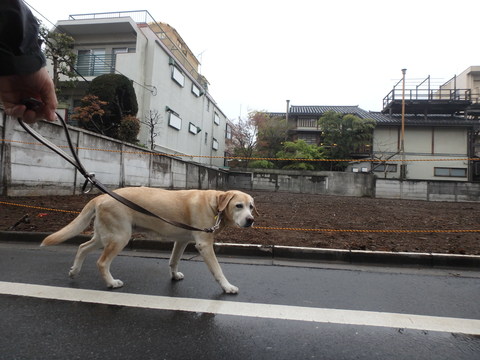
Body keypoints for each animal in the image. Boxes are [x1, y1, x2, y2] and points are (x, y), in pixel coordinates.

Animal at [41, 187, 256, 294]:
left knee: (82, 247)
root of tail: (100, 197)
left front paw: (174, 276)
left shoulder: (181, 241)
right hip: (120, 237)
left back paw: (74, 271)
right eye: (239, 206)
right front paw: (227, 287)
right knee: (101, 262)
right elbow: (218, 270)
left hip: (104, 236)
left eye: (251, 207)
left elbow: (173, 261)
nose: (251, 220)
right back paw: (111, 283)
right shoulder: (204, 244)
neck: (215, 204)